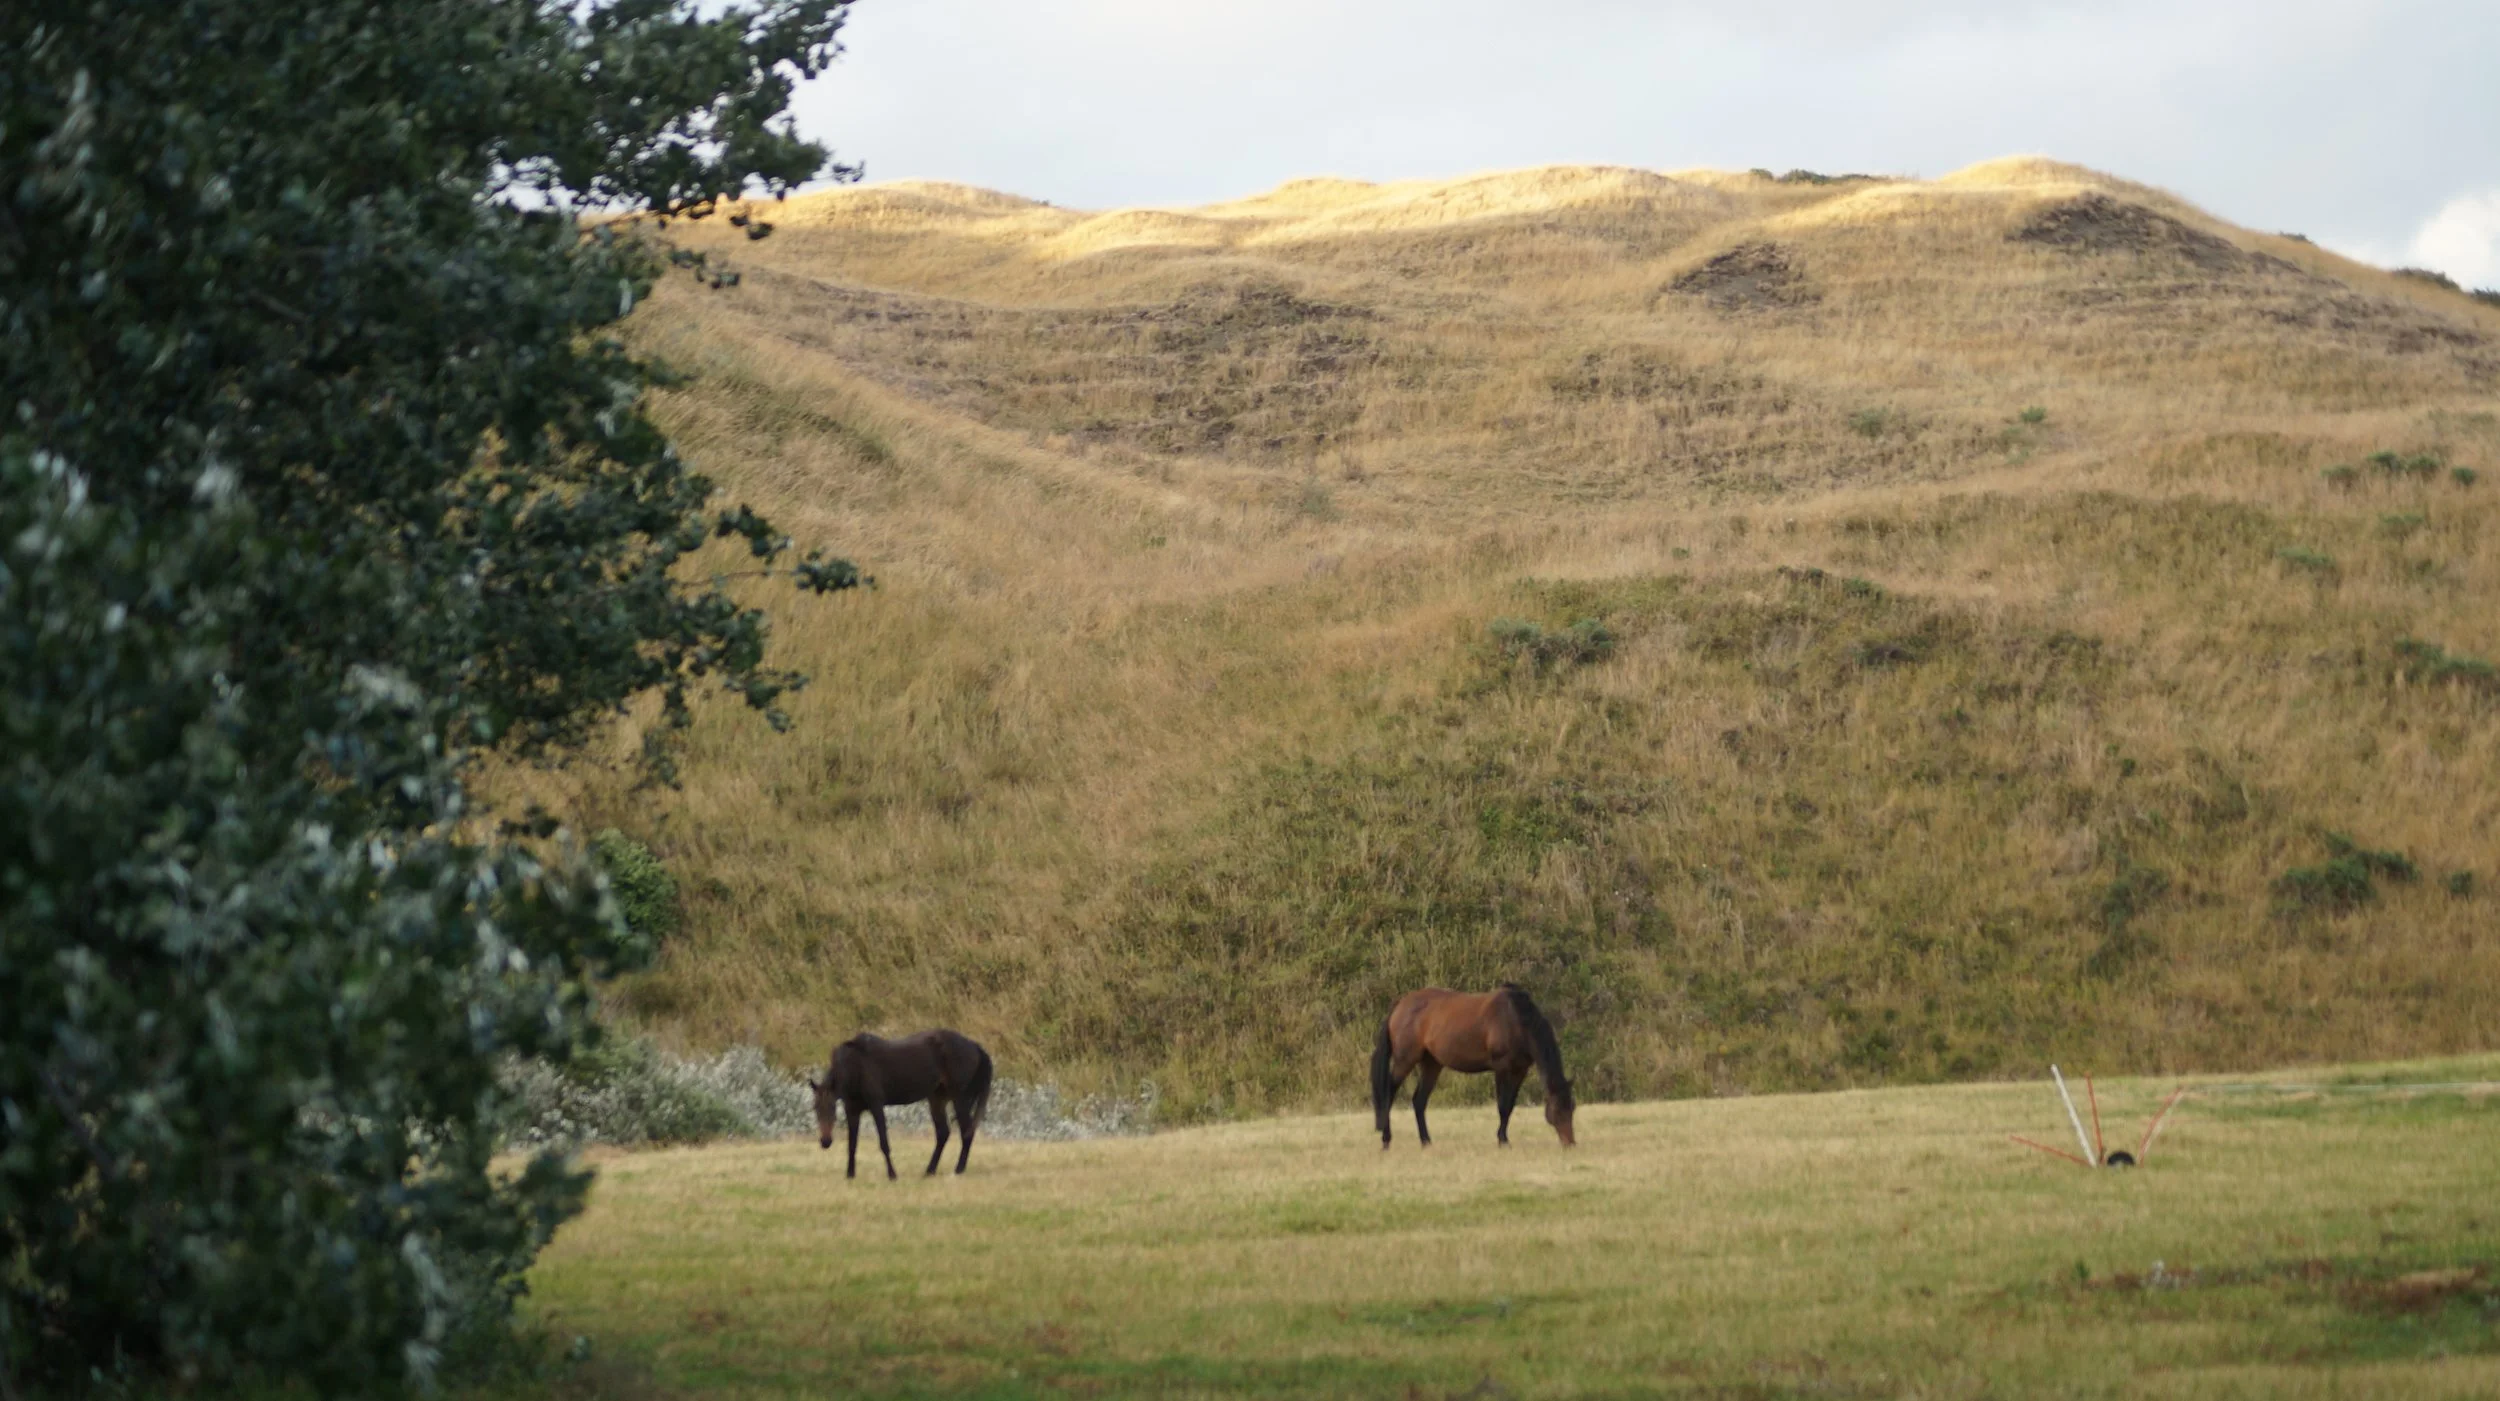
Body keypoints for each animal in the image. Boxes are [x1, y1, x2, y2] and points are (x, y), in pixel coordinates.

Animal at [808, 1029, 994, 1179]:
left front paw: (892, 1174)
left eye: (832, 1107)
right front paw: (850, 1175)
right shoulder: (852, 1109)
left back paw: (958, 1170)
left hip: (960, 1098)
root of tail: (974, 1046)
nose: (825, 1142)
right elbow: (852, 1144)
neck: (856, 1065)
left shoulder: (876, 1105)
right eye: (815, 1108)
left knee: (966, 1132)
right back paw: (929, 1171)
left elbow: (884, 1142)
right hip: (937, 1098)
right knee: (943, 1133)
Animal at [1372, 984, 1576, 1149]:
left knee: (1419, 1101)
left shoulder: (1520, 1070)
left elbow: (1510, 1105)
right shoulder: (1502, 1068)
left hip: (1431, 1064)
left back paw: (1426, 1142)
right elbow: (1503, 1106)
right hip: (1404, 1060)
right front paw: (1503, 1141)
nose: (1570, 1144)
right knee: (1389, 1093)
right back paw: (1386, 1140)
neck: (1516, 1019)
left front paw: (1504, 1138)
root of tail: (1400, 1005)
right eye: (1557, 1110)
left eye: (1572, 1108)